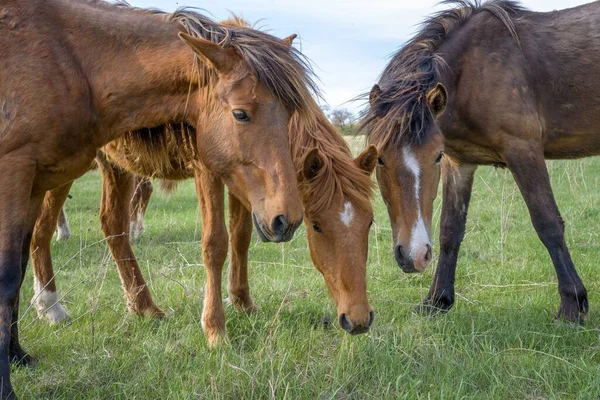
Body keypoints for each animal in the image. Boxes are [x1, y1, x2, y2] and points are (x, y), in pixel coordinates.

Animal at [30, 94, 378, 338]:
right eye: (316, 226)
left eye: (370, 222)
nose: (359, 319)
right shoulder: (207, 174)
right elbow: (215, 244)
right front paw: (214, 327)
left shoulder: (246, 188)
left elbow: (240, 237)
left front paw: (243, 302)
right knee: (42, 228)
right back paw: (51, 307)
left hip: (116, 166)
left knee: (112, 225)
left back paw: (143, 307)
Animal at [360, 0, 600, 324]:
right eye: (380, 159)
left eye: (434, 156)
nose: (414, 256)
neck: (472, 70)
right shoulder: (460, 163)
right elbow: (450, 230)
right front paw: (436, 300)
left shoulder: (523, 149)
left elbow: (547, 223)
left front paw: (572, 305)